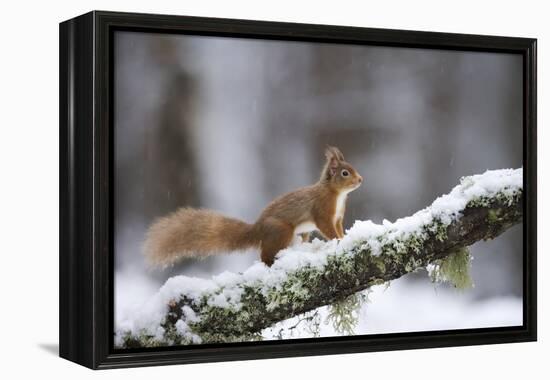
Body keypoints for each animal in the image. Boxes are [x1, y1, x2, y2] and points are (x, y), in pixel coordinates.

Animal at [144, 146, 364, 268]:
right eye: (345, 173)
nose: (360, 179)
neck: (337, 195)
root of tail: (257, 229)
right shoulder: (323, 211)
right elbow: (327, 228)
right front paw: (338, 240)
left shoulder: (338, 217)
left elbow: (339, 227)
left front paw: (344, 237)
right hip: (281, 230)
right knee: (265, 255)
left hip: (299, 234)